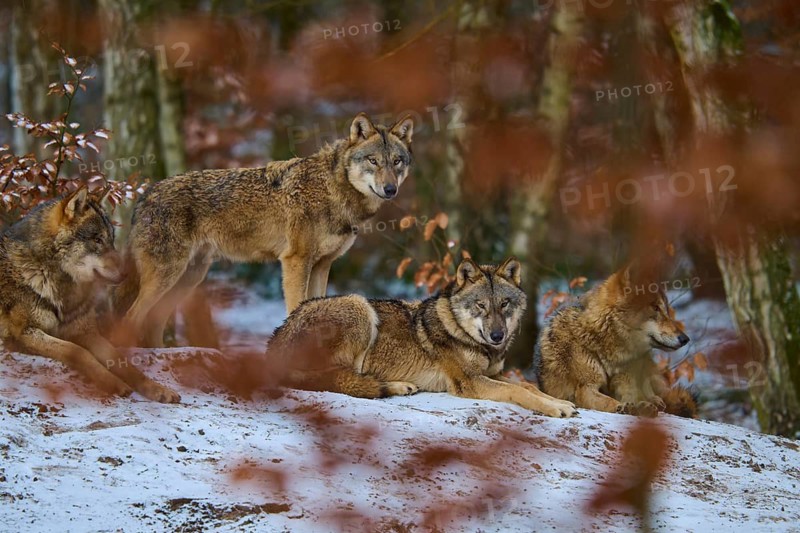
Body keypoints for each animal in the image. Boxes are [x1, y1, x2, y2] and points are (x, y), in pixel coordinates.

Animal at [0, 189, 180, 402]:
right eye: (97, 240)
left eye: (111, 240)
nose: (128, 273)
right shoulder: (24, 334)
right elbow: (77, 351)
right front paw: (114, 382)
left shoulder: (87, 332)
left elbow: (122, 361)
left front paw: (157, 389)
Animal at [115, 113, 414, 348]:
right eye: (373, 161)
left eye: (397, 161)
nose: (390, 189)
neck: (334, 189)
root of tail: (144, 195)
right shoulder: (295, 261)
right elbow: (296, 308)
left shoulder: (322, 265)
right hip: (167, 277)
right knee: (131, 317)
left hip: (189, 278)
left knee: (152, 322)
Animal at [266, 257, 577, 418]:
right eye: (481, 306)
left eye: (504, 304)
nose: (497, 335)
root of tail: (275, 342)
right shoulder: (468, 382)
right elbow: (519, 392)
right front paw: (555, 408)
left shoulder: (492, 374)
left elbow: (528, 387)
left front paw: (559, 402)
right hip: (359, 305)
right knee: (340, 381)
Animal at [534, 265, 695, 417]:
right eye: (655, 308)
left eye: (666, 310)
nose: (685, 339)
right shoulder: (585, 388)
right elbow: (609, 400)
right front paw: (625, 407)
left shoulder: (626, 383)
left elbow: (631, 396)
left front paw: (641, 406)